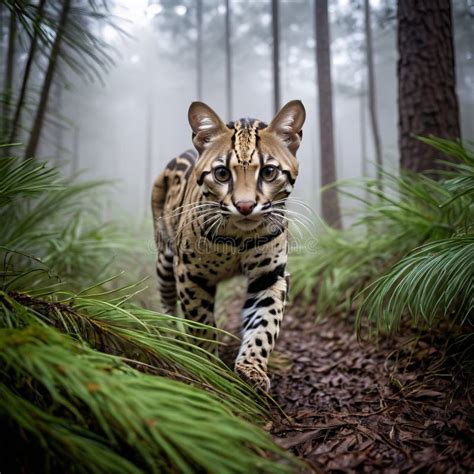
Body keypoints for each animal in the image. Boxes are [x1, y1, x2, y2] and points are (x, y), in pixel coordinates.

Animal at [152, 99, 308, 388]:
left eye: (269, 172)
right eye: (222, 173)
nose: (245, 206)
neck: (238, 237)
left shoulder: (270, 275)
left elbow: (264, 324)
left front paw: (251, 367)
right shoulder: (190, 274)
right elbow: (200, 322)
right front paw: (208, 362)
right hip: (165, 258)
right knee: (167, 300)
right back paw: (171, 334)